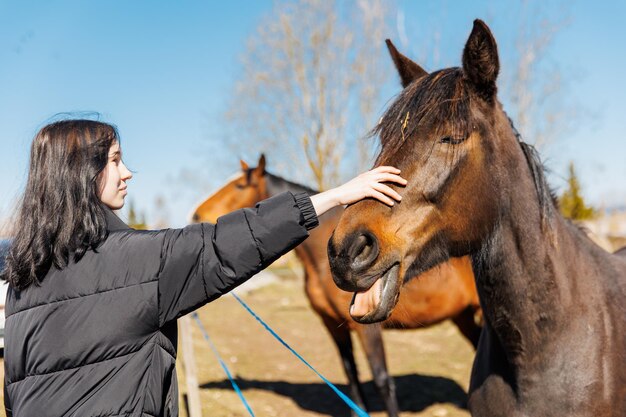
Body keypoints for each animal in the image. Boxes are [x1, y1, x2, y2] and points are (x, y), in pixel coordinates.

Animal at [193, 154, 480, 416]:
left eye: (241, 185)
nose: (197, 215)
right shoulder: (333, 325)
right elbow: (352, 378)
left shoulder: (367, 327)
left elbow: (382, 381)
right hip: (463, 317)